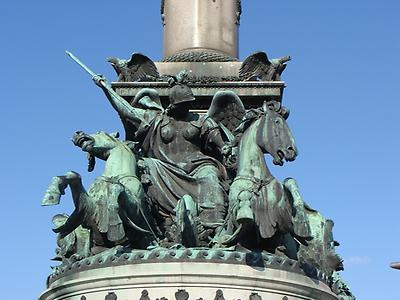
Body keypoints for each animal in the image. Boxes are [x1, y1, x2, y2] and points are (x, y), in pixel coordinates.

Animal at [225, 101, 310, 253]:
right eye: (277, 122)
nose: (292, 151)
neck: (258, 180)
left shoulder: (283, 219)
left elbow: (290, 181)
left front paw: (303, 223)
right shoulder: (239, 226)